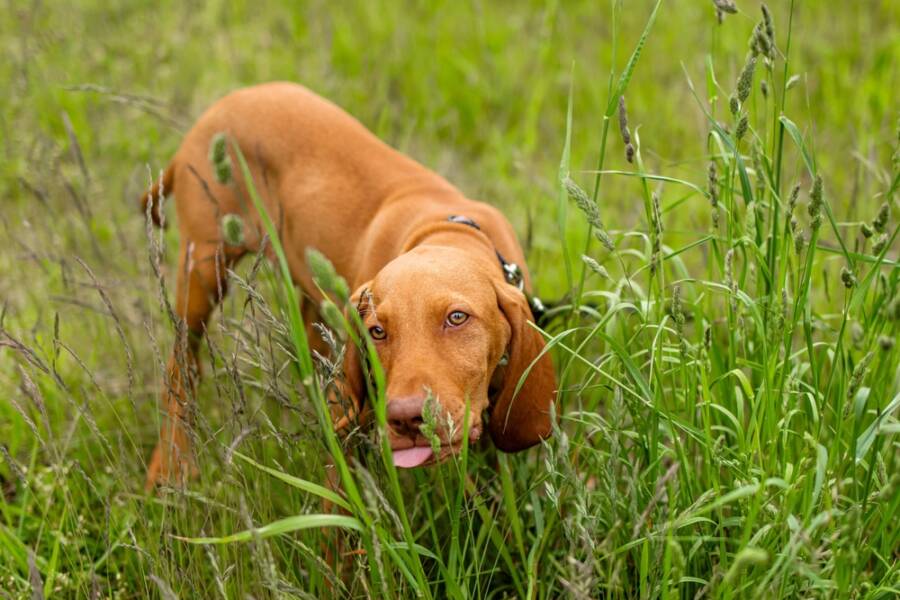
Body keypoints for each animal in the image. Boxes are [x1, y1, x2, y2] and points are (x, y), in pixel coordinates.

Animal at [141, 81, 556, 488]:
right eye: (377, 331)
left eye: (457, 318)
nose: (406, 418)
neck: (446, 231)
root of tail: (219, 107)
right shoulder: (346, 404)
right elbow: (340, 492)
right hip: (204, 266)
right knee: (182, 365)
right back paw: (170, 469)